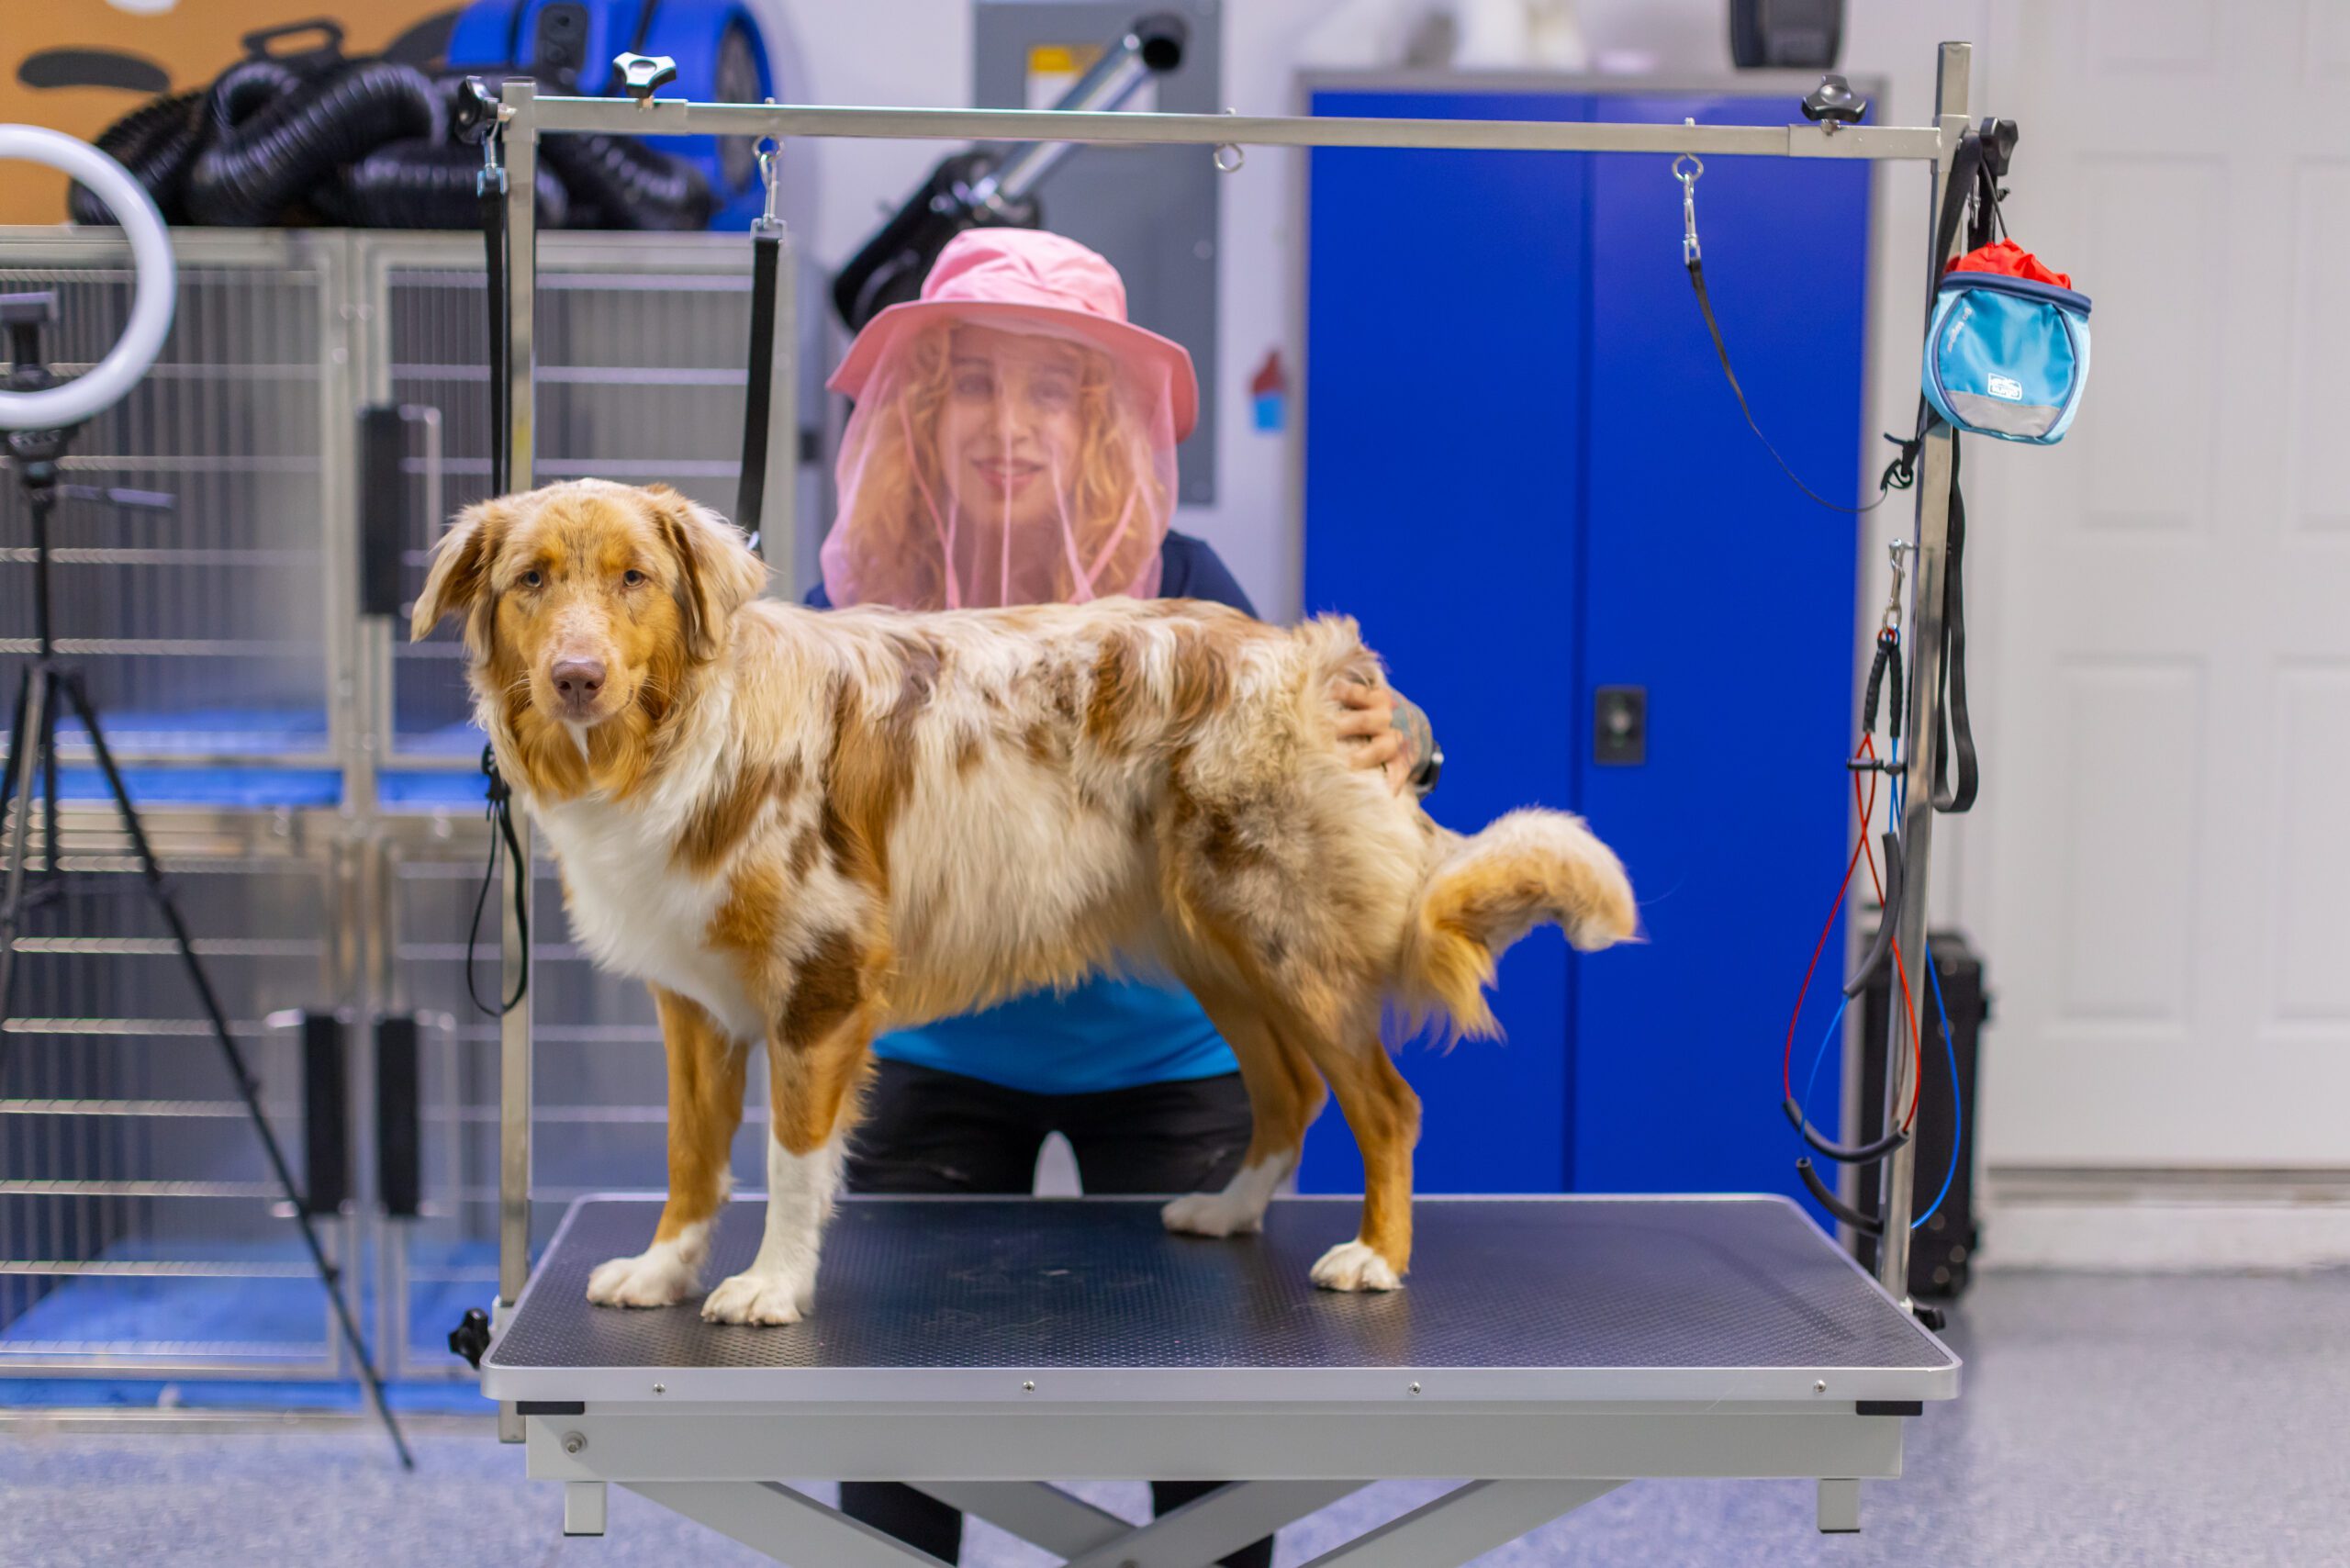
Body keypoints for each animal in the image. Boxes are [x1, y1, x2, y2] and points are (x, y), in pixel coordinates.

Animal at [408, 479, 1635, 1326]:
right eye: (530, 581)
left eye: (635, 579)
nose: (576, 677)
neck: (683, 732)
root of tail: (1304, 655)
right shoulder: (695, 1002)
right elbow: (690, 1153)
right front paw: (665, 1266)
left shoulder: (821, 978)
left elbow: (792, 1161)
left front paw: (771, 1286)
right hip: (1218, 947)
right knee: (1287, 1091)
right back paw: (1227, 1212)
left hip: (1287, 939)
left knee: (1385, 1102)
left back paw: (1375, 1256)